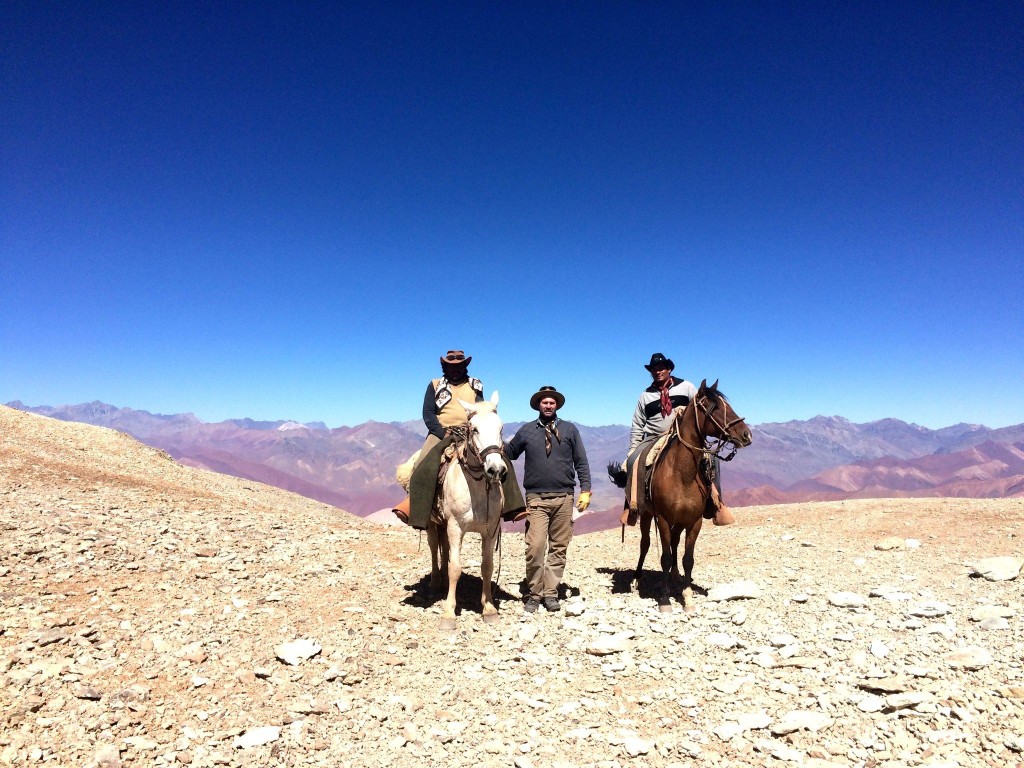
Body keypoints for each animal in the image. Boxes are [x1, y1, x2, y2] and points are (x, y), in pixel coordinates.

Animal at [425, 393, 505, 626]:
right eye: (475, 429)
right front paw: (448, 613)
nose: (495, 469)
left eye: (501, 428)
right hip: (433, 523)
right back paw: (435, 583)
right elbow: (455, 568)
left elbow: (487, 566)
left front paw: (489, 608)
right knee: (434, 548)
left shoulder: (490, 530)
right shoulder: (455, 527)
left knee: (443, 549)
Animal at [630, 378, 753, 614]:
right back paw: (637, 578)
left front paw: (687, 597)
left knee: (675, 542)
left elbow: (688, 558)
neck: (681, 474)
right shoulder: (663, 519)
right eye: (716, 407)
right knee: (645, 543)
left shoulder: (694, 521)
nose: (746, 435)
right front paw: (665, 599)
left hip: (679, 521)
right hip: (647, 515)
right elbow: (665, 557)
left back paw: (676, 576)